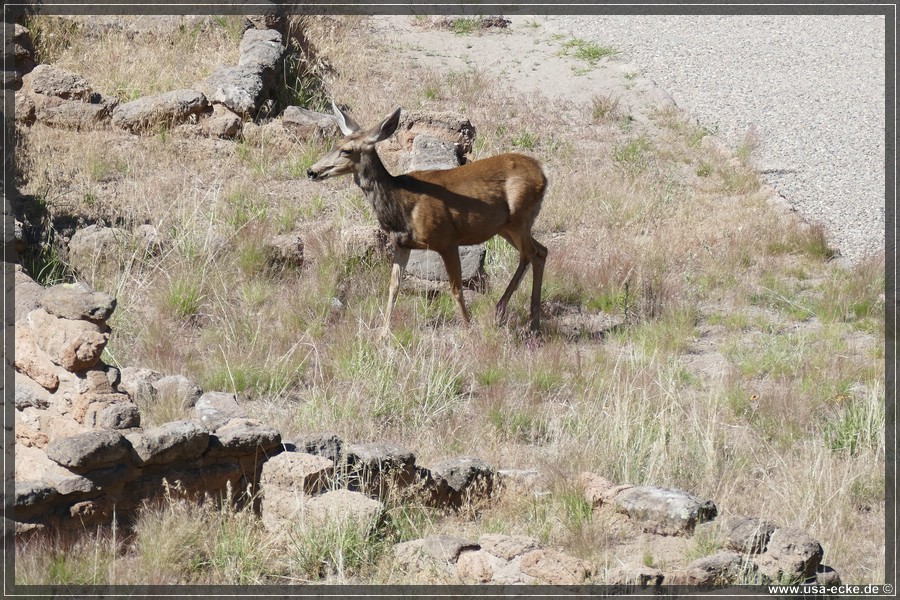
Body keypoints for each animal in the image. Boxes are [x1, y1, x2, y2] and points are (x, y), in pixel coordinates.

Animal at [310, 103, 548, 338]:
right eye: (334, 144)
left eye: (347, 150)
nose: (311, 171)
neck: (400, 203)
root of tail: (543, 175)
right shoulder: (402, 244)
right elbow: (393, 286)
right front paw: (383, 333)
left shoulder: (447, 239)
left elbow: (455, 288)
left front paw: (468, 328)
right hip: (505, 227)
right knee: (541, 251)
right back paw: (533, 321)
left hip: (519, 217)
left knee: (529, 253)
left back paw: (506, 311)